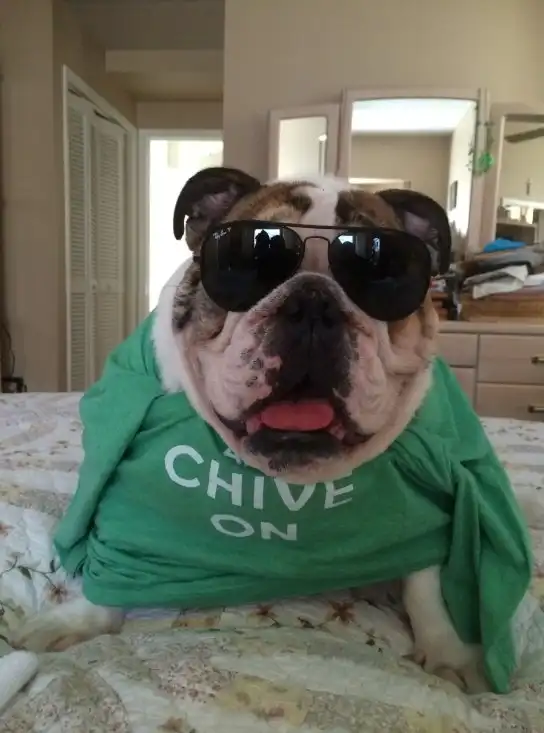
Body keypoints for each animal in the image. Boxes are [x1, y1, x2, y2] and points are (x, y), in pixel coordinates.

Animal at [12, 167, 489, 693]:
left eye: (383, 273)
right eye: (247, 259)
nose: (313, 301)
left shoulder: (431, 496)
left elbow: (429, 581)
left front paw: (448, 651)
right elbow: (111, 558)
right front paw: (80, 619)